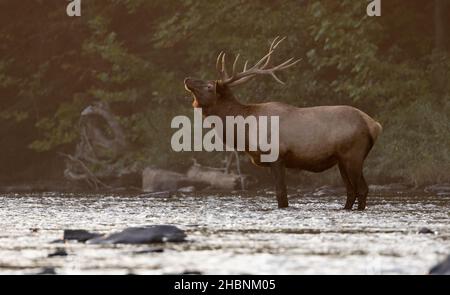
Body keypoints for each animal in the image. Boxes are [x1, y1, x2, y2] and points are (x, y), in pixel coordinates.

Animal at [185, 37, 382, 212]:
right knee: (351, 191)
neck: (244, 133)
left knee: (361, 189)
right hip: (341, 160)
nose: (187, 79)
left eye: (209, 86)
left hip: (353, 154)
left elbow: (282, 195)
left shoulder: (276, 156)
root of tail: (374, 125)